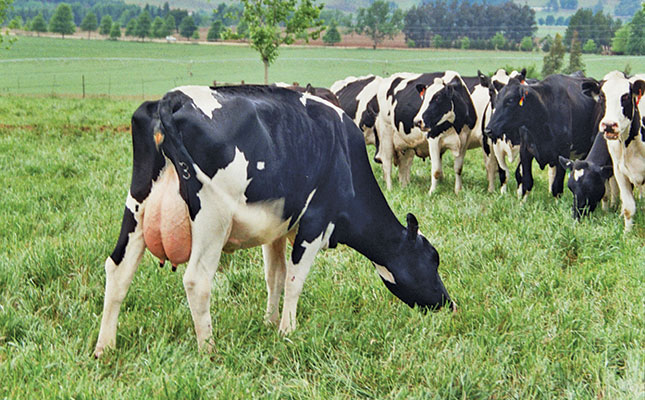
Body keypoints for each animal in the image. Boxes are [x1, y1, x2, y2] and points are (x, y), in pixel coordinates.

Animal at [94, 83, 452, 356]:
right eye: (433, 259)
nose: (448, 304)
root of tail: (173, 98)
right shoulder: (315, 223)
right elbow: (294, 280)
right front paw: (286, 330)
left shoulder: (278, 226)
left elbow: (275, 276)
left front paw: (269, 322)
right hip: (212, 217)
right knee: (196, 280)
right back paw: (208, 349)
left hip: (137, 206)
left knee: (118, 270)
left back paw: (104, 347)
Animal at [580, 70, 644, 230]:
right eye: (602, 96)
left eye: (626, 96)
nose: (609, 125)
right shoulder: (619, 171)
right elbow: (628, 209)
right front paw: (627, 234)